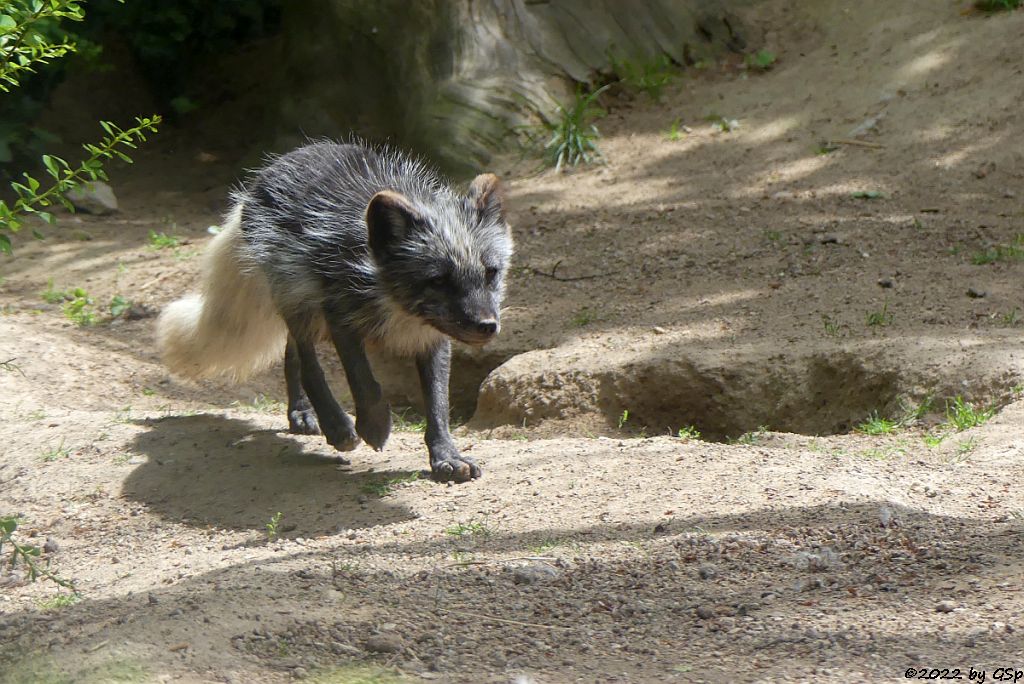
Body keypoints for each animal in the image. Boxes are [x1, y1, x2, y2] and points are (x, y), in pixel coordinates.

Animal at [156, 140, 512, 481]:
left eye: (491, 272)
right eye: (437, 280)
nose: (486, 326)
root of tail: (280, 162)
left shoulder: (431, 338)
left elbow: (438, 403)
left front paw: (446, 457)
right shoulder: (340, 315)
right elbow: (365, 383)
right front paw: (374, 426)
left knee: (292, 355)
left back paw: (302, 412)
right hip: (297, 298)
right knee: (307, 364)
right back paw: (335, 425)